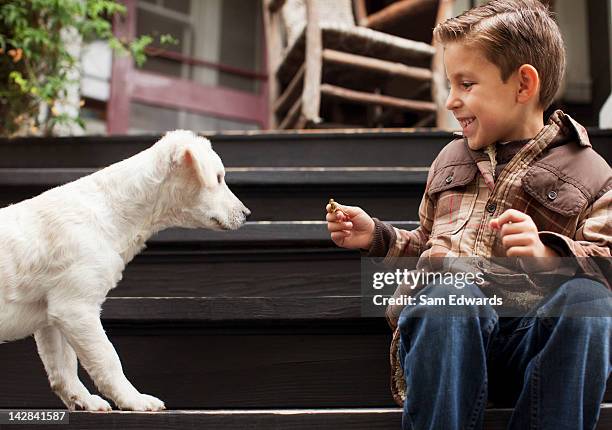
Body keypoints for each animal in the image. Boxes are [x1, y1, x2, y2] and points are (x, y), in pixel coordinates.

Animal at [0, 130, 251, 410]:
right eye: (218, 178)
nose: (247, 214)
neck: (112, 213)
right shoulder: (75, 308)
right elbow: (108, 358)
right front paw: (134, 400)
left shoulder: (52, 315)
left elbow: (63, 368)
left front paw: (84, 401)